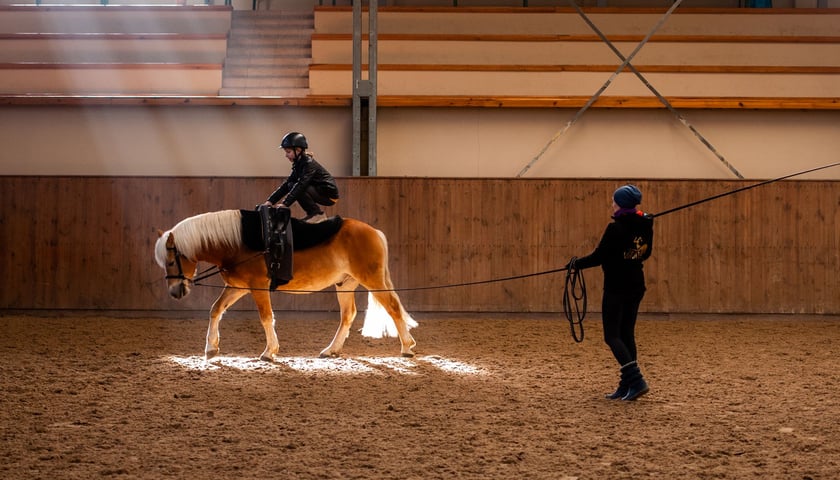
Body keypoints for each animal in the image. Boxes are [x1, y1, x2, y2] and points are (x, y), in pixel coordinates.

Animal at [153, 210, 416, 360]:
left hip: (372, 280)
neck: (238, 240)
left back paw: (407, 347)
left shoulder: (258, 286)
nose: (175, 292)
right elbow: (216, 310)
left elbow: (266, 317)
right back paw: (331, 350)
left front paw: (269, 352)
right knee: (347, 315)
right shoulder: (238, 287)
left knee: (393, 307)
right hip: (345, 283)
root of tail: (374, 231)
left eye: (171, 260)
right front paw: (211, 348)